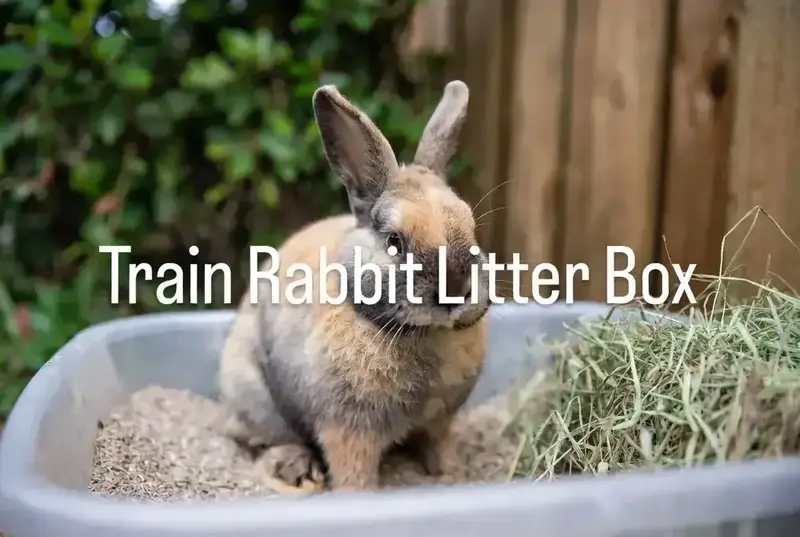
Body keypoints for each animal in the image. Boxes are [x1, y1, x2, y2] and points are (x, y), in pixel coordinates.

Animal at [217, 79, 492, 492]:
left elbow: (438, 447)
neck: (422, 334)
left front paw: (452, 475)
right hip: (253, 394)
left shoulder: (438, 423)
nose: (455, 289)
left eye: (472, 229)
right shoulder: (347, 431)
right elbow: (353, 471)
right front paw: (359, 494)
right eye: (394, 241)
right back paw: (298, 470)